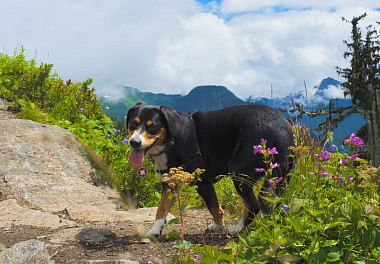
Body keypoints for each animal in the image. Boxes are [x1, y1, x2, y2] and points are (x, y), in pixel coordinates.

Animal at [127, 102, 294, 237]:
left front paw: (219, 226)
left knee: (254, 205)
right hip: (280, 179)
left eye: (153, 126)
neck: (173, 140)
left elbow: (214, 207)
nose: (134, 142)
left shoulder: (203, 182)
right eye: (132, 124)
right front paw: (155, 230)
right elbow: (161, 209)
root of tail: (283, 128)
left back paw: (237, 229)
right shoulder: (171, 184)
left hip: (239, 170)